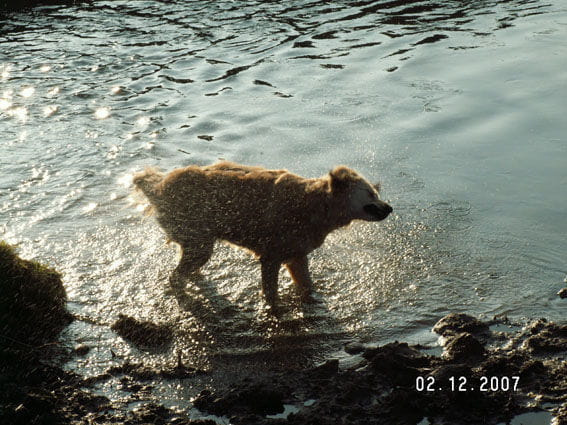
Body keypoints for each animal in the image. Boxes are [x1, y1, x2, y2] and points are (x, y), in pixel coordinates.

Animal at [134, 161, 390, 304]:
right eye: (370, 193)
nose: (389, 207)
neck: (315, 204)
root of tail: (158, 186)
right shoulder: (271, 256)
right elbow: (271, 292)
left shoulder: (296, 255)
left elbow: (306, 285)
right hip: (198, 240)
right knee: (176, 275)